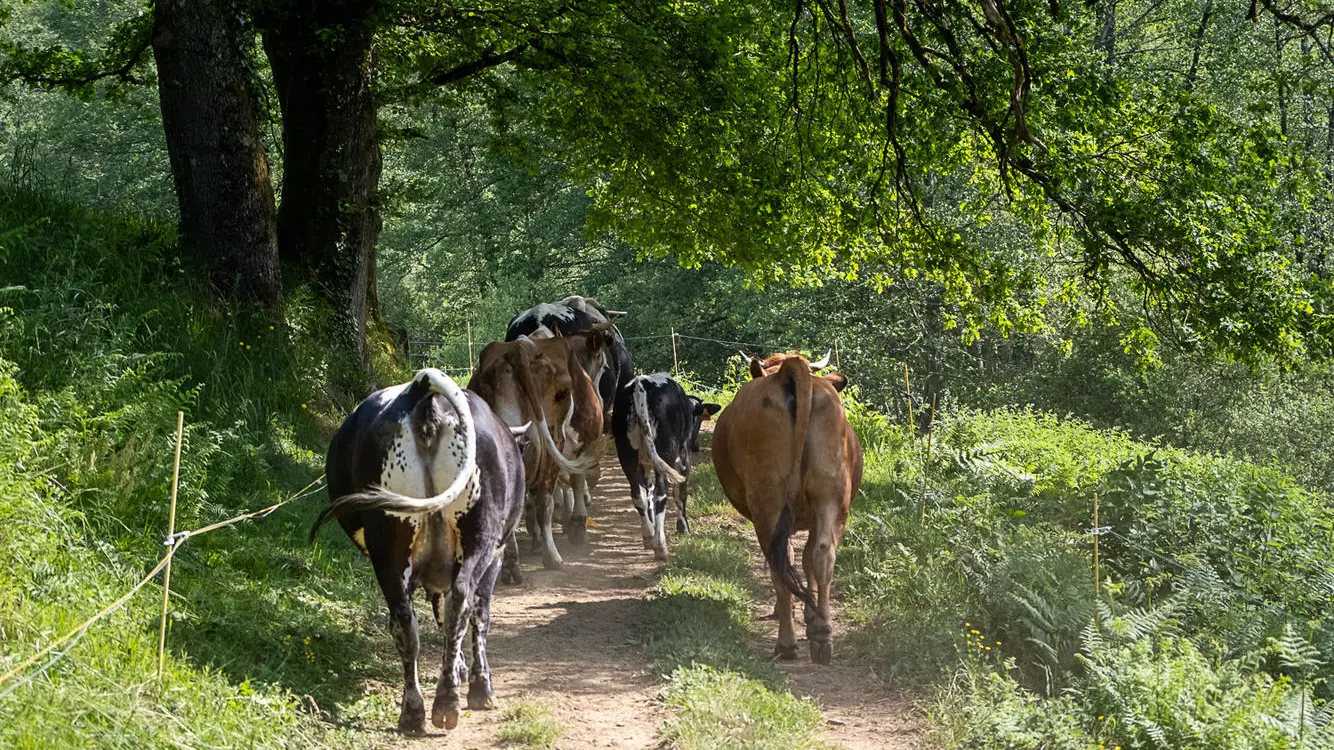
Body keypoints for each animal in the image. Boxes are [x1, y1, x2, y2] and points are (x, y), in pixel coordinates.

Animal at [309, 365, 522, 731]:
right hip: (479, 536)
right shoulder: (496, 554)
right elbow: (480, 615)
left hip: (390, 548)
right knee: (461, 602)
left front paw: (460, 669)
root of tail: (422, 390)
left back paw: (414, 710)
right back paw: (449, 701)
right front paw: (479, 684)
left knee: (405, 621)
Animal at [469, 326, 610, 565]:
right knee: (545, 500)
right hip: (552, 446)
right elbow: (576, 482)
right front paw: (576, 524)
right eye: (602, 365)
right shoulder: (579, 444)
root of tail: (519, 348)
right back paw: (551, 556)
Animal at [610, 370, 720, 557]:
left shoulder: (645, 464)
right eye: (698, 420)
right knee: (661, 494)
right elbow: (680, 493)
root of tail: (639, 385)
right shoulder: (683, 459)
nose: (696, 446)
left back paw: (648, 536)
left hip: (627, 454)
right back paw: (660, 547)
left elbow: (647, 492)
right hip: (665, 453)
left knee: (638, 493)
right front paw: (683, 528)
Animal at [715, 349, 859, 659]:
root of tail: (788, 371)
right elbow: (805, 559)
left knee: (778, 562)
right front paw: (810, 615)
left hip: (768, 501)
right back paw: (821, 636)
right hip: (830, 494)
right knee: (822, 554)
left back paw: (787, 643)